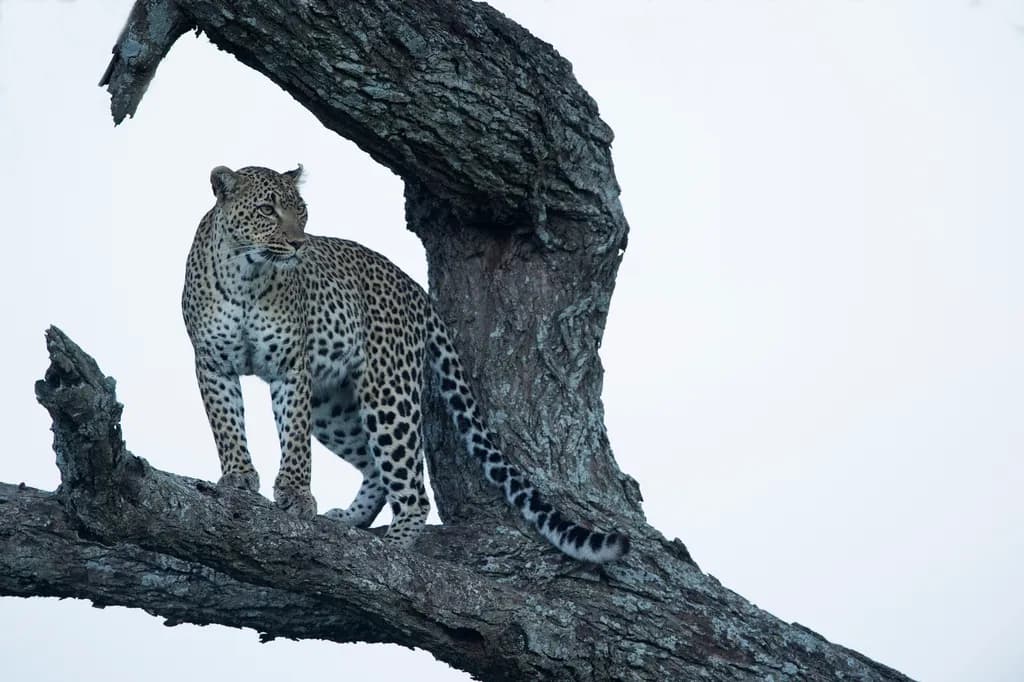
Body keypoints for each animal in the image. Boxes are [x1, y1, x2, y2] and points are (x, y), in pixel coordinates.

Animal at [182, 164, 630, 563]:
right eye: (266, 210)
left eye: (301, 210)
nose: (298, 244)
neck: (246, 275)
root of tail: (415, 288)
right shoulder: (213, 362)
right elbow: (227, 425)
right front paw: (239, 477)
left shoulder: (292, 368)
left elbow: (294, 440)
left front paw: (295, 495)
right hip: (331, 405)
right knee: (376, 469)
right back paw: (351, 519)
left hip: (386, 393)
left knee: (412, 489)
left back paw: (392, 545)